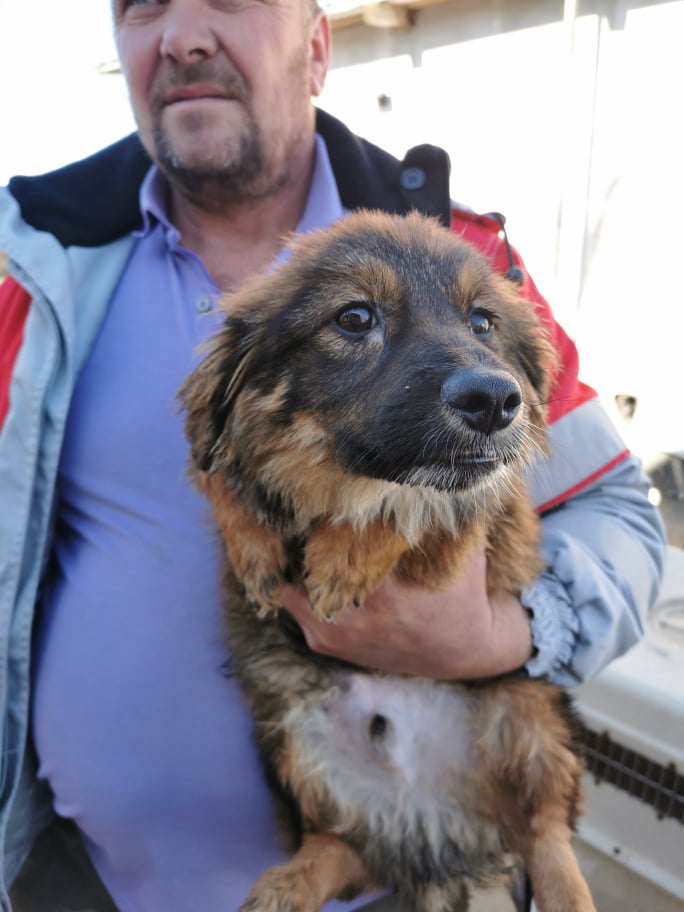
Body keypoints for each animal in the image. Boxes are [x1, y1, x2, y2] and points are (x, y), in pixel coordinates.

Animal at [179, 210, 596, 908]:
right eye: (354, 317)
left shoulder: (479, 505)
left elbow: (411, 500)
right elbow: (220, 474)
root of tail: (431, 829)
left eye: (483, 322)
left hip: (532, 716)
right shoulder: (215, 446)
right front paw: (255, 549)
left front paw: (344, 558)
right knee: (341, 849)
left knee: (546, 835)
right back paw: (287, 885)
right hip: (296, 744)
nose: (495, 401)